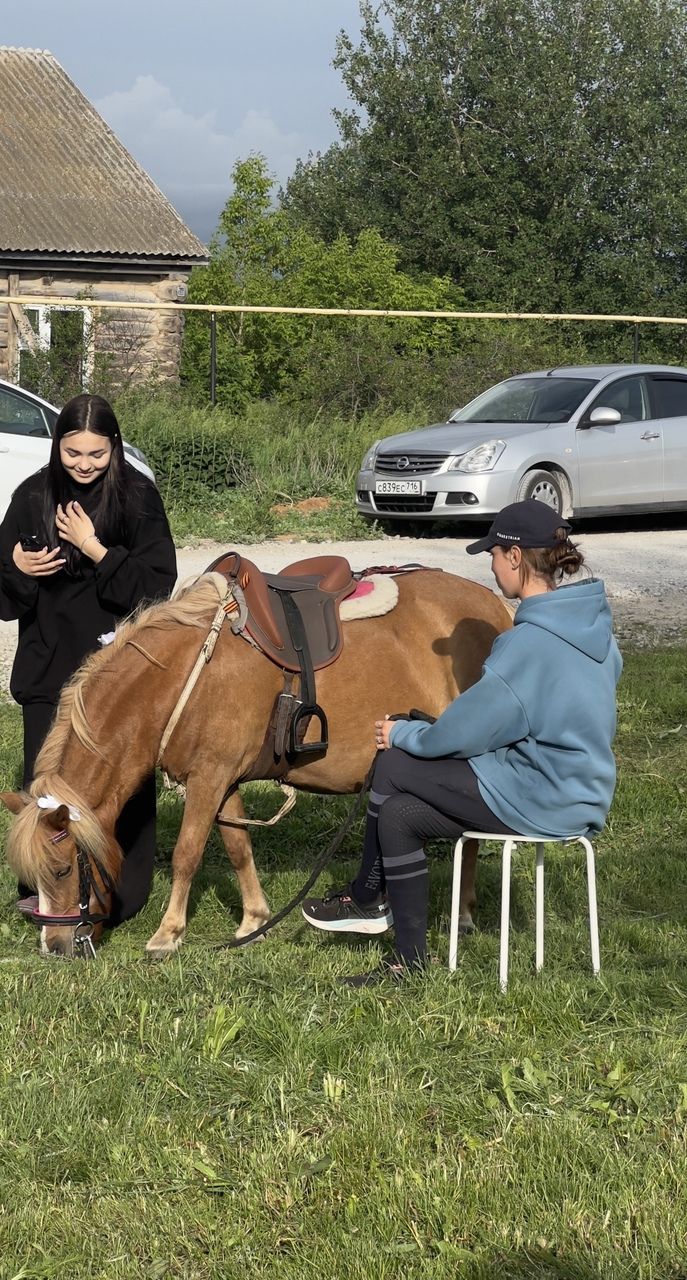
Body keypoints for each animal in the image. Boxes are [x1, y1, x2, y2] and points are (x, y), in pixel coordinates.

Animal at [0, 565, 509, 957]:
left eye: (62, 870)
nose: (54, 947)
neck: (181, 676)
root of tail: (494, 605)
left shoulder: (208, 778)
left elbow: (188, 853)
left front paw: (168, 934)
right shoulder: (223, 780)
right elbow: (237, 847)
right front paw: (254, 921)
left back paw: (464, 914)